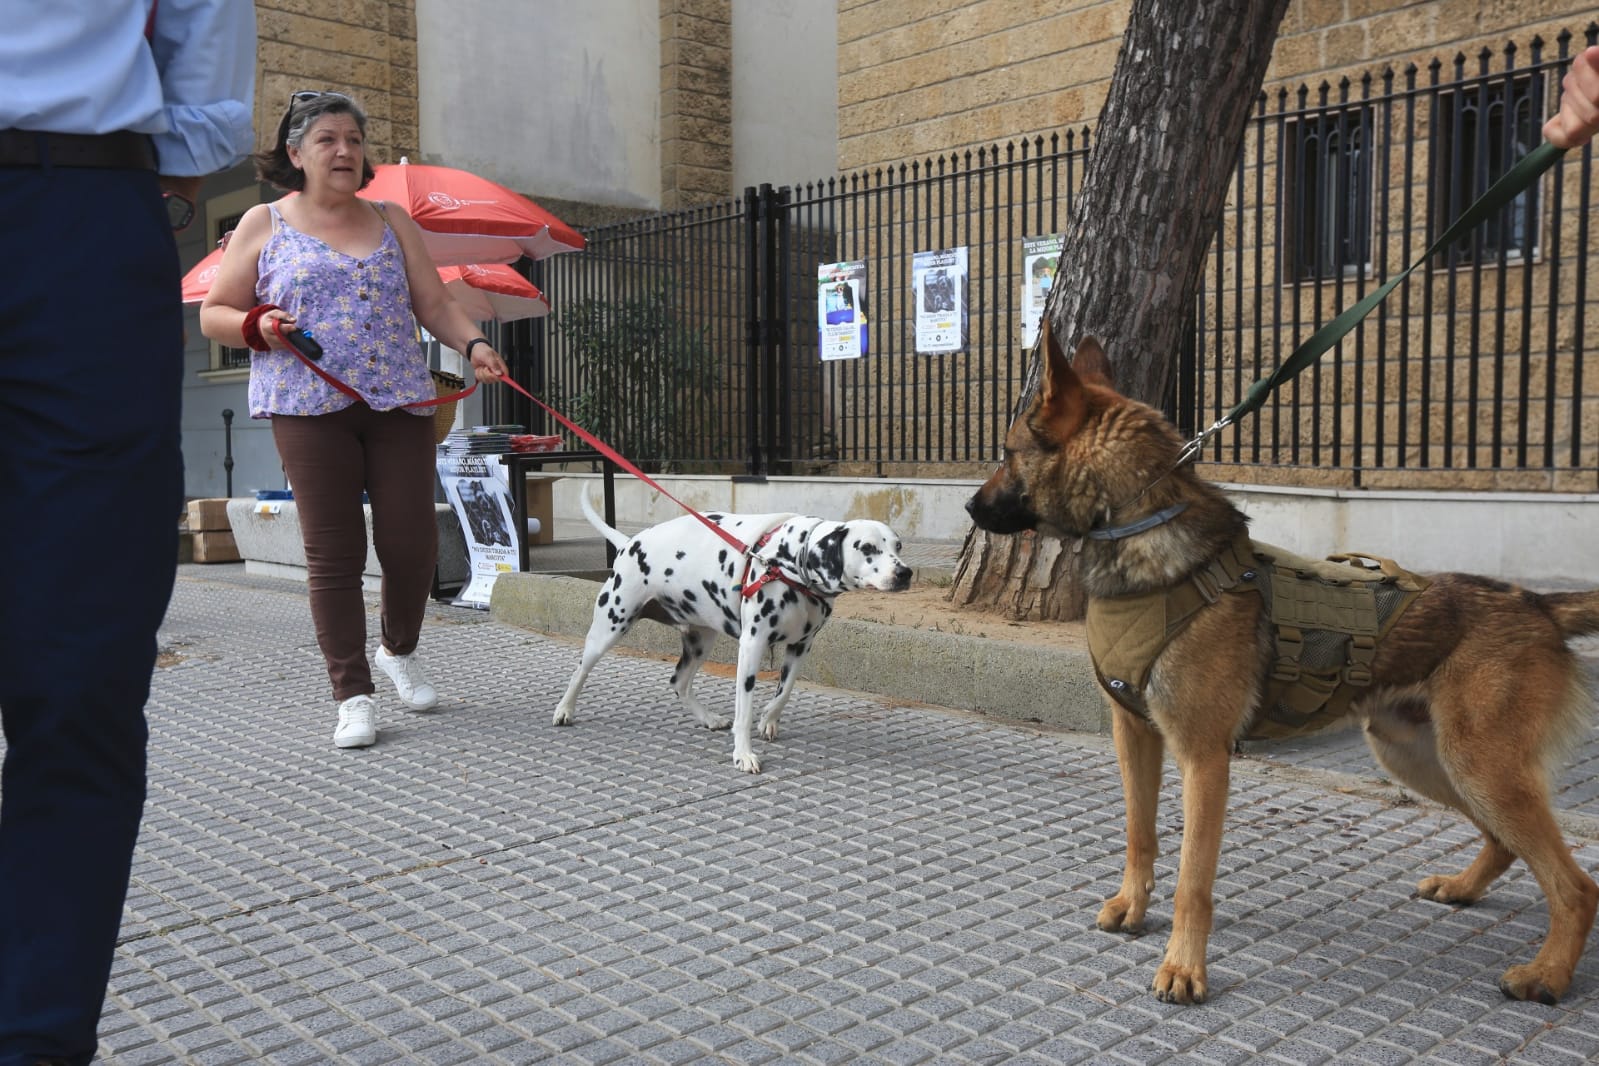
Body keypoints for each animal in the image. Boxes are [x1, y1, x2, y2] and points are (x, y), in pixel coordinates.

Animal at [556, 489, 914, 770]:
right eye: (867, 548)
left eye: (897, 546)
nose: (905, 573)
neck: (791, 561)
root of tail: (630, 542)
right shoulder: (752, 648)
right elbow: (744, 711)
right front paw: (743, 754)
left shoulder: (801, 647)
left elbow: (784, 692)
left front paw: (768, 719)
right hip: (609, 626)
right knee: (579, 670)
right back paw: (564, 710)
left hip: (700, 641)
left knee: (679, 683)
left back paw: (708, 718)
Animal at [959, 335, 1599, 1010]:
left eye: (1008, 453)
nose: (969, 506)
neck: (1144, 532)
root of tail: (1537, 604)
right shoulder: (1133, 735)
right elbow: (1139, 833)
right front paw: (1133, 906)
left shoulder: (1203, 759)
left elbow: (1192, 880)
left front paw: (1183, 967)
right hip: (1427, 761)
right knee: (1505, 843)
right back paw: (1465, 888)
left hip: (1478, 768)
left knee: (1577, 887)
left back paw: (1547, 974)